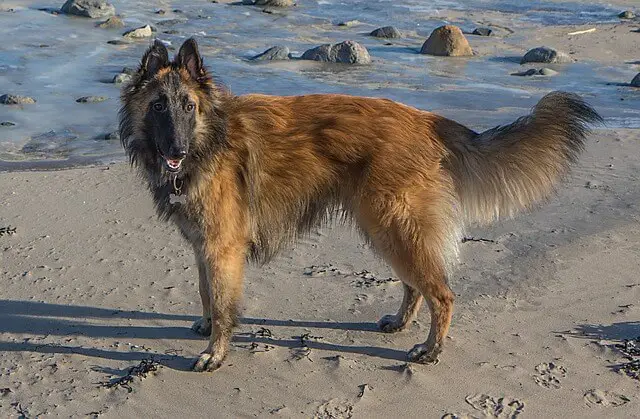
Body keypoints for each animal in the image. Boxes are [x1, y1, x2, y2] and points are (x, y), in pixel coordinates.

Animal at [119, 37, 600, 370]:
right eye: (159, 106)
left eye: (188, 106)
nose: (177, 150)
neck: (210, 138)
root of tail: (429, 120)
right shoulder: (204, 246)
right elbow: (205, 291)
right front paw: (202, 326)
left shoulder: (223, 248)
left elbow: (223, 305)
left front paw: (214, 353)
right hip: (387, 227)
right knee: (415, 285)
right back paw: (401, 323)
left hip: (391, 225)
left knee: (441, 293)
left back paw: (430, 349)